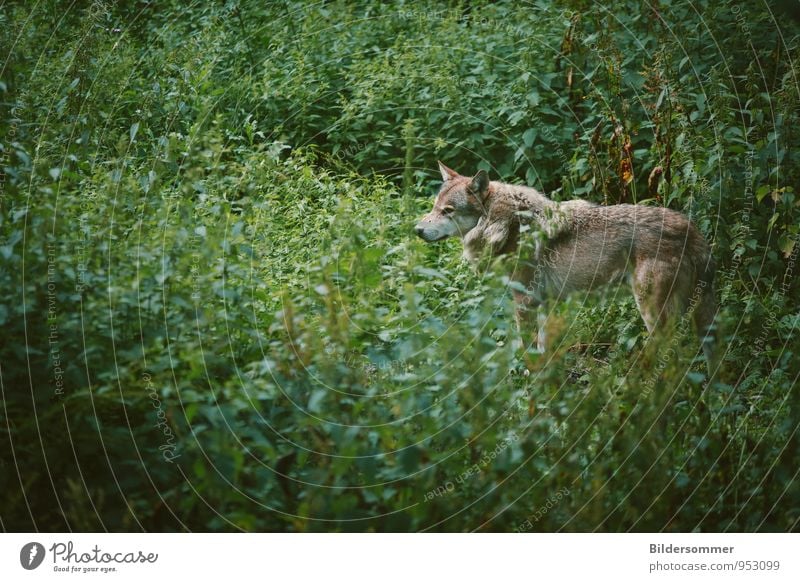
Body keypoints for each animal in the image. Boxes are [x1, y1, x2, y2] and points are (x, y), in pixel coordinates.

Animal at [416, 162, 716, 368]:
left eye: (448, 211)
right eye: (434, 207)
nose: (417, 229)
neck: (505, 225)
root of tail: (693, 232)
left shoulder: (524, 302)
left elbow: (528, 352)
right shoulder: (546, 305)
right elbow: (544, 351)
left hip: (654, 316)